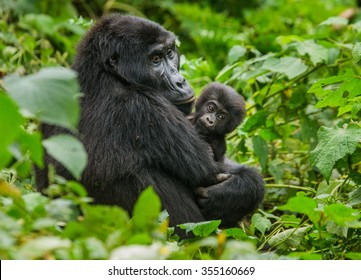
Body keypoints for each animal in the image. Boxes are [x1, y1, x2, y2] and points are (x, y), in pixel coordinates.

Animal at [36, 14, 264, 234]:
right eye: (155, 59)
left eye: (170, 52)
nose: (180, 81)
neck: (104, 74)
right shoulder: (146, 108)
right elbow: (210, 171)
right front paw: (239, 190)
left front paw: (234, 191)